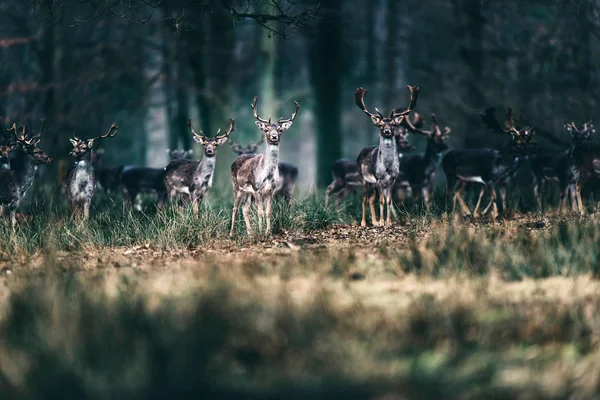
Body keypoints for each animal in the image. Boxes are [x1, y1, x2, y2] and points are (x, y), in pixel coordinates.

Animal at [232, 95, 302, 236]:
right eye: (266, 129)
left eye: (280, 130)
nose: (274, 136)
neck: (267, 174)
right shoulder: (257, 189)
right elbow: (260, 212)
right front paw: (260, 231)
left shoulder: (271, 191)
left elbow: (268, 212)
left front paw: (267, 232)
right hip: (237, 187)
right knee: (235, 208)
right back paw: (232, 233)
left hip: (250, 192)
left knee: (244, 207)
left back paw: (250, 233)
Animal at [354, 85, 420, 227]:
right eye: (380, 125)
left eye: (393, 124)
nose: (387, 130)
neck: (387, 167)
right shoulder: (379, 179)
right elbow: (382, 201)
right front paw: (382, 222)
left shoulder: (392, 180)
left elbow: (388, 200)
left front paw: (388, 222)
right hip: (363, 178)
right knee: (364, 198)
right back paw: (364, 222)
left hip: (373, 183)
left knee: (371, 198)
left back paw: (374, 221)